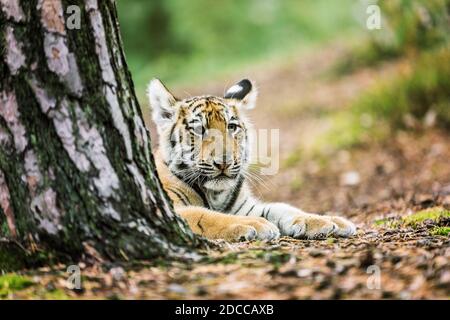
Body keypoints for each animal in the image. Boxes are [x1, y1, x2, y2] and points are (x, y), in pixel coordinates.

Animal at [147, 77, 356, 241]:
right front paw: (255, 224)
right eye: (199, 129)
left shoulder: (245, 206)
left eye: (231, 127)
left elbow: (282, 208)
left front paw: (329, 220)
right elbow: (205, 216)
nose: (224, 162)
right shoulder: (167, 207)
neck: (216, 194)